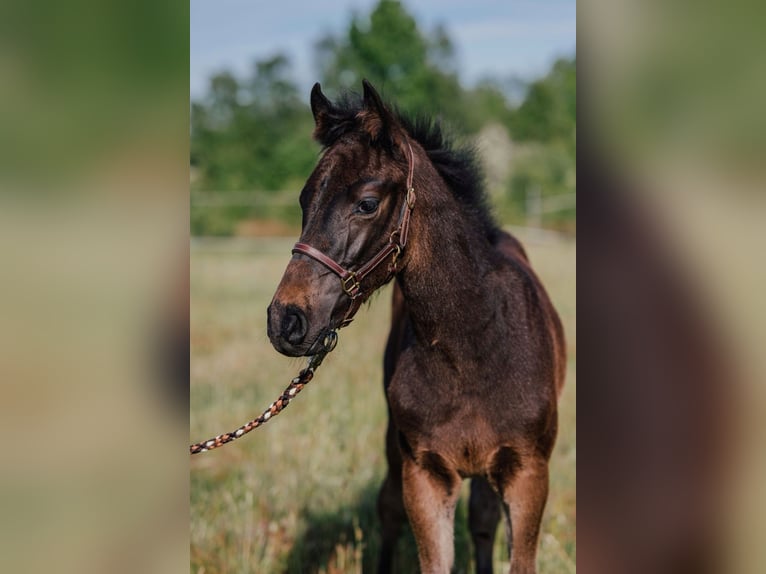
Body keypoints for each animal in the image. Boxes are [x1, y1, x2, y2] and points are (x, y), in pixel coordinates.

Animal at [268, 81, 564, 574]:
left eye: (367, 203)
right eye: (305, 200)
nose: (285, 320)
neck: (474, 347)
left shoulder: (528, 472)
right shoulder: (424, 473)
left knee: (481, 520)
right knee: (388, 507)